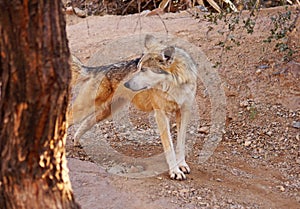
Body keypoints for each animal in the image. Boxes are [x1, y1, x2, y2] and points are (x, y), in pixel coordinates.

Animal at [69, 34, 198, 180]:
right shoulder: (161, 115)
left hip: (104, 113)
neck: (175, 86)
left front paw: (182, 165)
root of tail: (98, 69)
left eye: (143, 69)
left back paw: (76, 140)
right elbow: (169, 147)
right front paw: (175, 171)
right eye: (138, 67)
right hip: (85, 110)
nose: (126, 84)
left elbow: (180, 145)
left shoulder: (184, 112)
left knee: (86, 122)